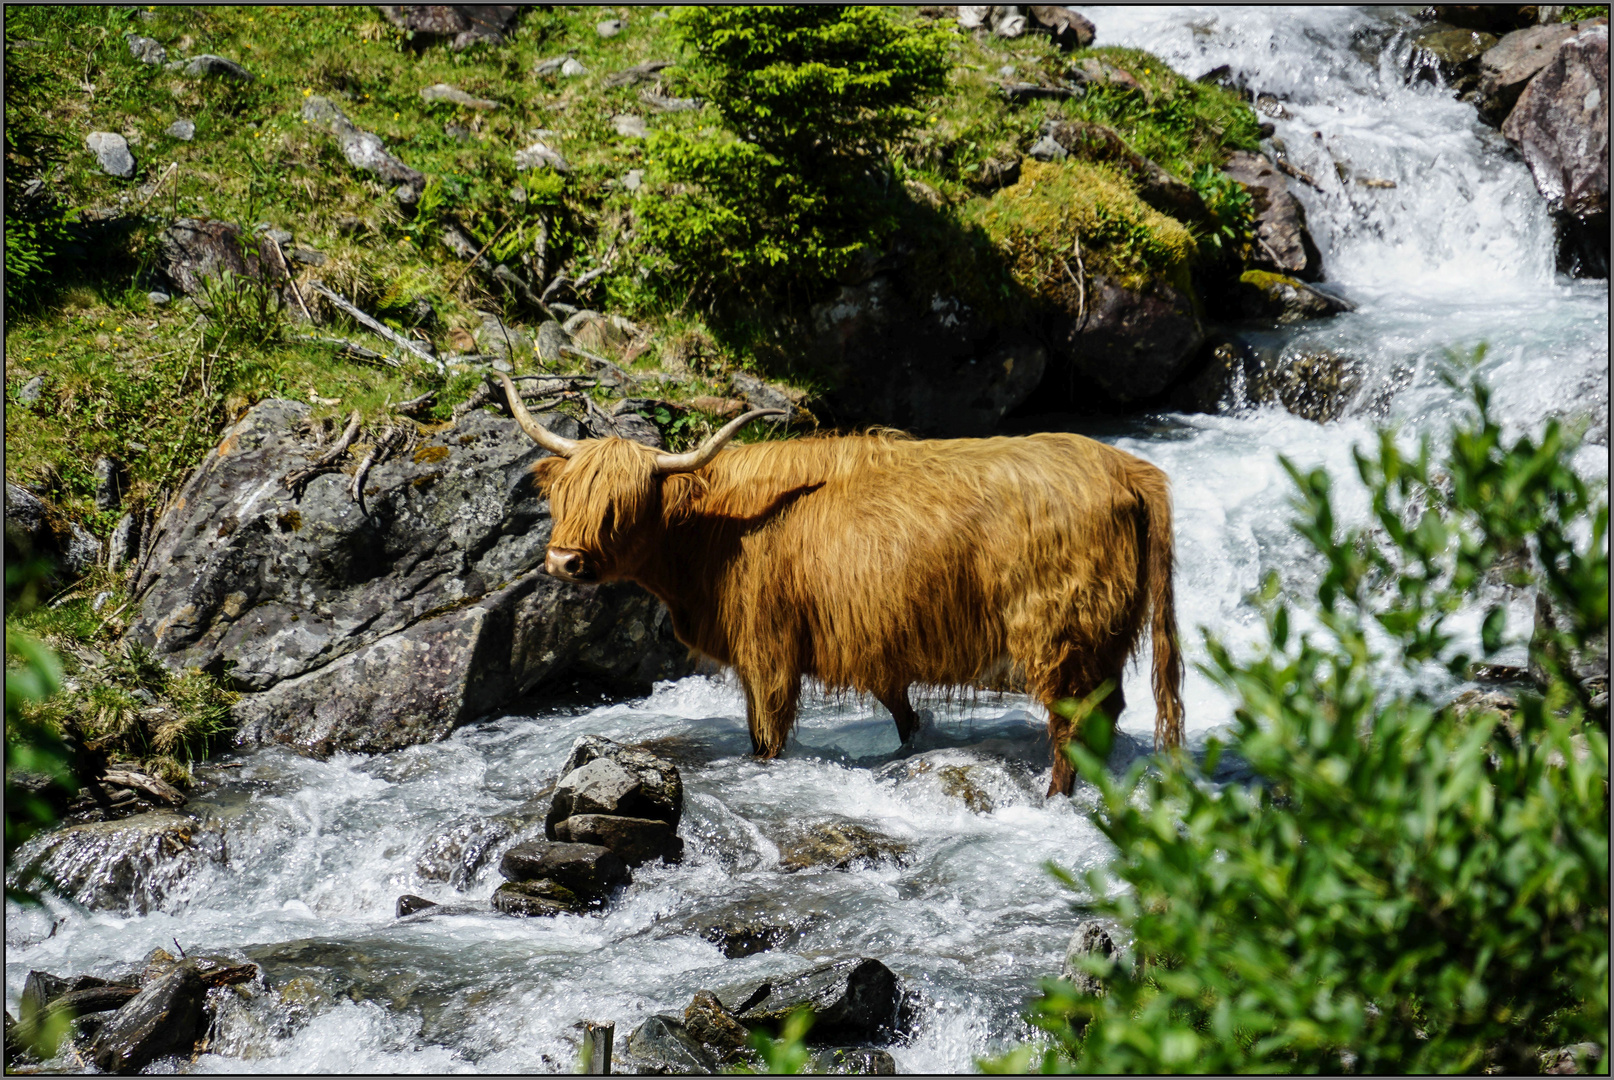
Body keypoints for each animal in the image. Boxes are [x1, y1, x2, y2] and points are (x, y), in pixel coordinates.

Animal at [500, 372, 1187, 791]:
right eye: (565, 495)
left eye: (620, 505)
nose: (563, 561)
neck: (712, 532)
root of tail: (1124, 464)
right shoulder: (868, 648)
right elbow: (902, 715)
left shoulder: (768, 650)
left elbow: (767, 737)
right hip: (1102, 641)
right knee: (1106, 715)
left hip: (1062, 637)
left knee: (1072, 725)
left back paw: (1054, 798)